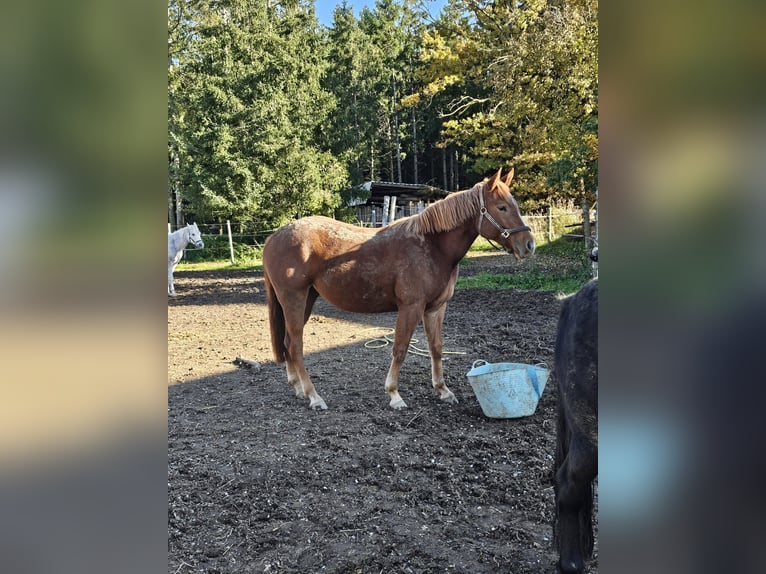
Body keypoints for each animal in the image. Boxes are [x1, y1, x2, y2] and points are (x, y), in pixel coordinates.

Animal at [262, 168, 535, 410]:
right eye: (502, 207)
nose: (529, 245)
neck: (432, 246)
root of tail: (274, 237)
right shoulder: (410, 307)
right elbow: (400, 349)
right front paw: (394, 395)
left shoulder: (435, 308)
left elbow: (436, 348)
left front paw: (443, 390)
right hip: (294, 299)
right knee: (296, 346)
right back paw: (314, 396)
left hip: (306, 299)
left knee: (288, 342)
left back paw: (298, 388)